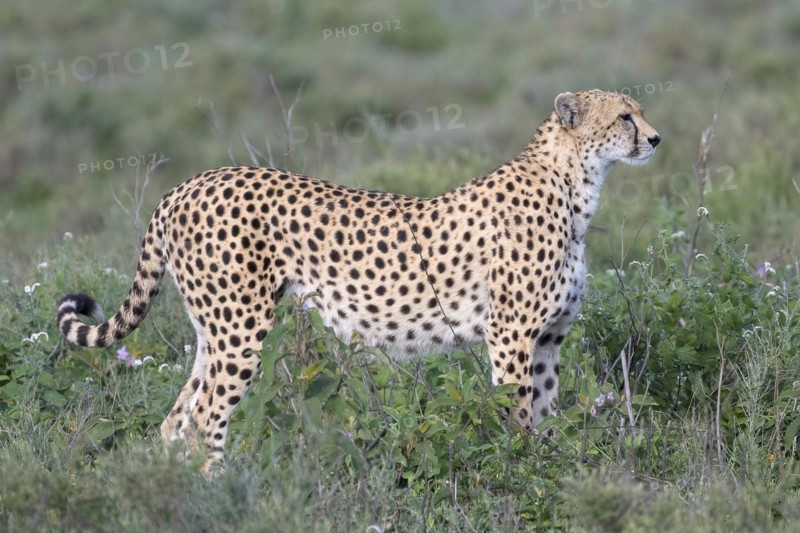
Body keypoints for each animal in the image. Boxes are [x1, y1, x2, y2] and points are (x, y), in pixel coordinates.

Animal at [57, 89, 660, 473]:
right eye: (624, 116)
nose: (655, 139)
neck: (574, 185)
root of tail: (188, 183)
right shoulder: (512, 337)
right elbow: (516, 417)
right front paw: (520, 472)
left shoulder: (549, 340)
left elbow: (546, 414)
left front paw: (551, 468)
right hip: (241, 330)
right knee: (205, 420)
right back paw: (220, 494)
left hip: (214, 331)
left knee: (175, 421)